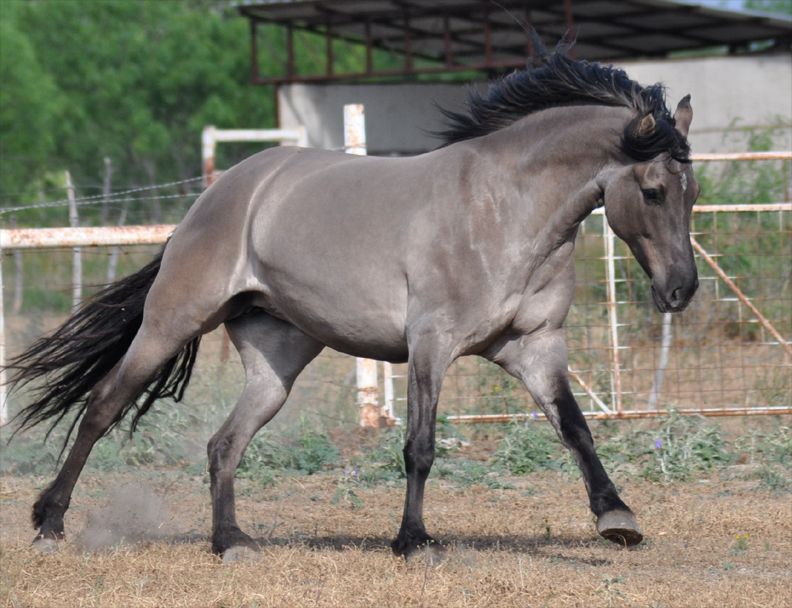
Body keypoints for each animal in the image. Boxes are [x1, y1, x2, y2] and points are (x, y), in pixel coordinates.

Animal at [6, 39, 700, 560]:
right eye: (655, 191)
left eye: (692, 193)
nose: (682, 289)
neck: (503, 210)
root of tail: (217, 195)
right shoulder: (431, 345)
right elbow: (419, 446)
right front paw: (413, 541)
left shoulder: (535, 348)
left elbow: (575, 427)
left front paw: (617, 517)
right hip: (170, 322)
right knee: (102, 407)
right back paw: (50, 523)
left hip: (278, 360)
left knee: (223, 444)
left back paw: (231, 542)